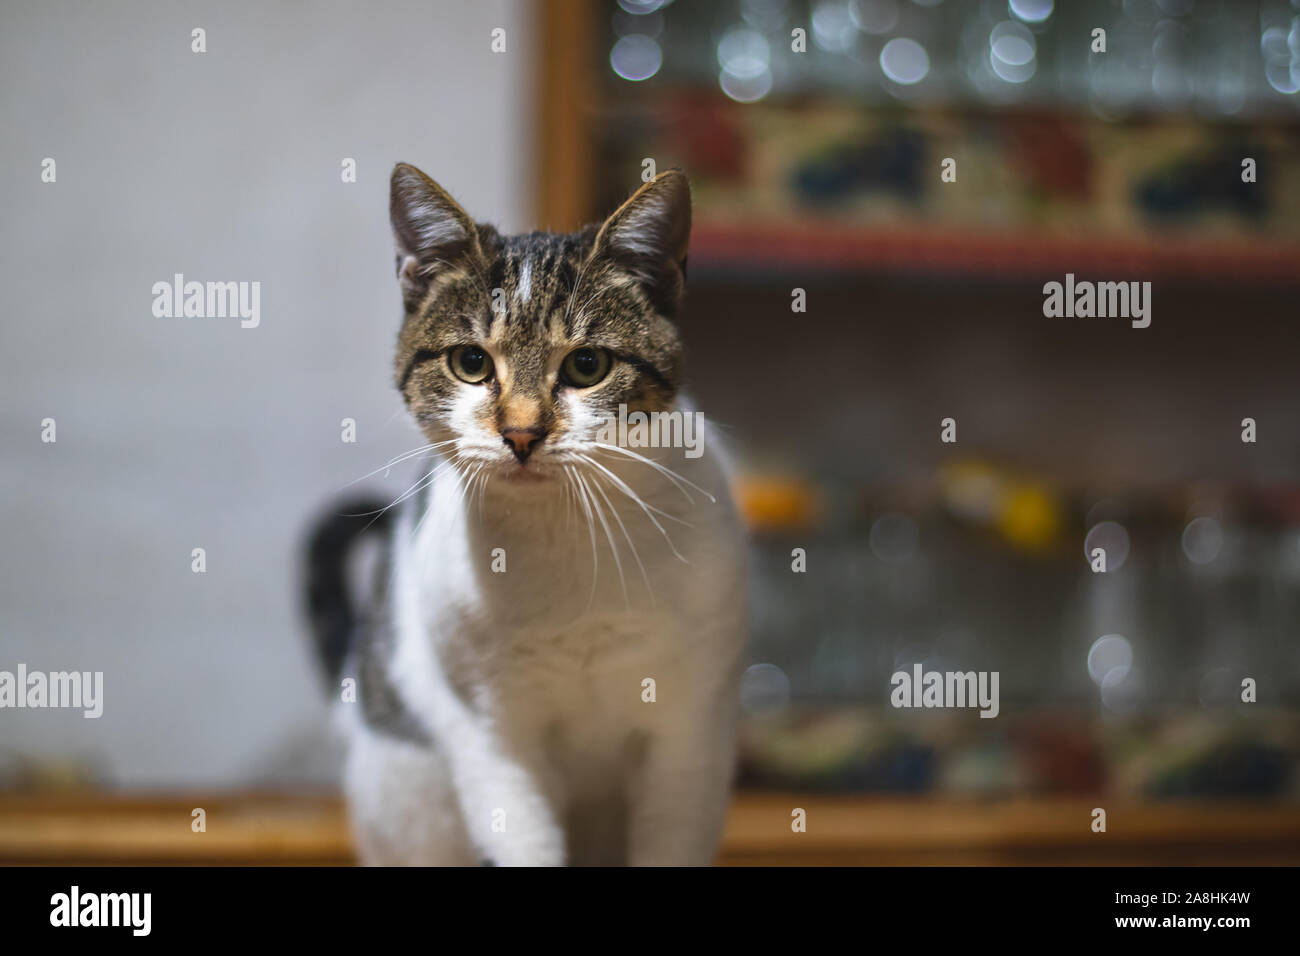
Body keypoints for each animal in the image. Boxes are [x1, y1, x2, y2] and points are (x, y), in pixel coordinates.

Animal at [305, 160, 748, 863]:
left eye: (587, 364)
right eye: (470, 362)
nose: (520, 432)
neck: (563, 537)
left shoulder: (690, 734)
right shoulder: (492, 737)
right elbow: (521, 838)